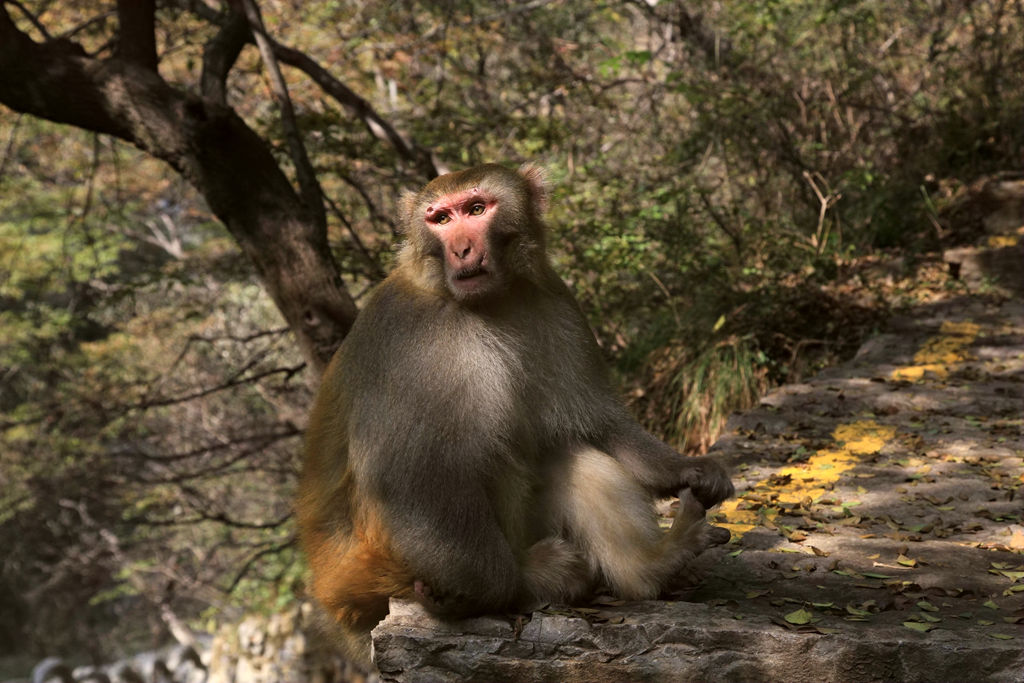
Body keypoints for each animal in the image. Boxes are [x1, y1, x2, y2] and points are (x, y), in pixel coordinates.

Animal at [296, 162, 737, 663]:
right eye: (440, 220)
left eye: (476, 209)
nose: (462, 249)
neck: (491, 301)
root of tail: (335, 600)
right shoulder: (411, 343)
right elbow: (407, 477)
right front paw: (501, 590)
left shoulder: (555, 300)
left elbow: (598, 423)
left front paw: (689, 469)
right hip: (389, 567)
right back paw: (515, 583)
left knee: (569, 454)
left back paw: (655, 566)